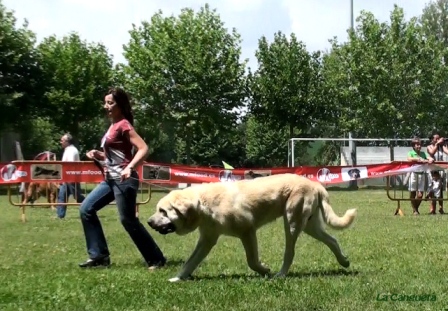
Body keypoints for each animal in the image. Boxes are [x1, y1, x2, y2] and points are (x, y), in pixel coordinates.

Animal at [147, 173, 356, 282]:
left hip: (292, 223)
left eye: (163, 211)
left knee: (290, 253)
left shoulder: (247, 231)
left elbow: (252, 261)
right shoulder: (206, 240)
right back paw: (344, 261)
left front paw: (265, 270)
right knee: (332, 240)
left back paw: (280, 274)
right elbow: (190, 262)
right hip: (310, 226)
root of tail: (314, 184)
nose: (148, 222)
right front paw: (178, 278)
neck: (203, 204)